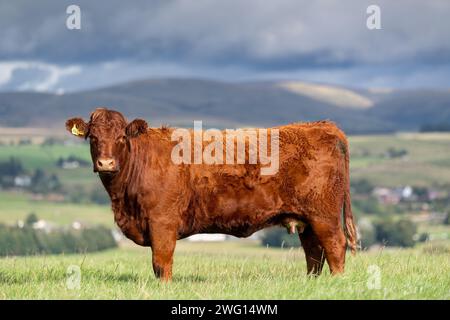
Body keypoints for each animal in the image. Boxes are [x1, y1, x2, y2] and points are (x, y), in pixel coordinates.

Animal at [65, 107, 356, 280]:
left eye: (122, 138)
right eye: (93, 138)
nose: (106, 163)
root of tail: (321, 125)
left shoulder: (162, 222)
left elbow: (161, 263)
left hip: (325, 216)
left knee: (335, 246)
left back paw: (337, 282)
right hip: (308, 219)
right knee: (314, 253)